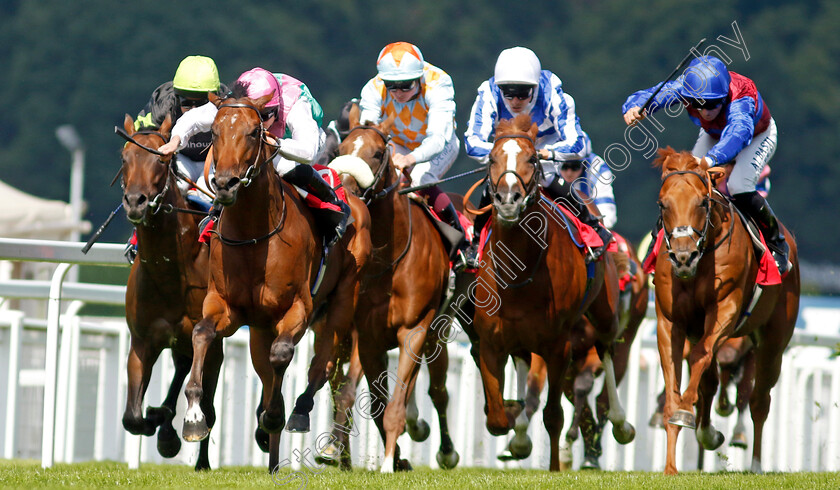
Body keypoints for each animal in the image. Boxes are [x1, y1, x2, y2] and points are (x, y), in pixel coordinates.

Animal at [118, 114, 218, 470]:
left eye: (162, 161)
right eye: (125, 158)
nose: (135, 202)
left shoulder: (212, 335)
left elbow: (205, 401)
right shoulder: (142, 341)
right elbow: (132, 417)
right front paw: (156, 421)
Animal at [182, 88, 370, 470]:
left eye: (255, 132)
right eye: (214, 132)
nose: (224, 184)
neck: (255, 236)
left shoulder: (297, 308)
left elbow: (283, 356)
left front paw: (273, 415)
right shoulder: (225, 306)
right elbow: (202, 333)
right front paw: (194, 417)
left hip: (343, 300)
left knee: (323, 365)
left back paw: (298, 413)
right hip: (259, 329)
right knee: (268, 368)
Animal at [326, 106, 462, 470]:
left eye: (376, 153)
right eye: (341, 148)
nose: (345, 186)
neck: (388, 258)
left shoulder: (414, 330)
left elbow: (396, 403)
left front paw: (388, 462)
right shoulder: (367, 337)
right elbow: (373, 401)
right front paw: (394, 457)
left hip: (438, 329)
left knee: (439, 391)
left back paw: (446, 451)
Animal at [470, 115, 632, 470]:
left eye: (533, 159)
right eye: (492, 158)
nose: (507, 200)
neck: (518, 274)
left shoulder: (559, 347)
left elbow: (553, 415)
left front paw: (556, 467)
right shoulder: (490, 343)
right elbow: (496, 419)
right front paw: (513, 427)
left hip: (604, 314)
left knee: (607, 351)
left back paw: (621, 423)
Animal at [648, 146, 800, 474]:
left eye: (702, 202)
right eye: (663, 204)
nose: (682, 257)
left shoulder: (726, 310)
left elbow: (700, 360)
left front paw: (686, 414)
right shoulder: (670, 322)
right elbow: (677, 387)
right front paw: (670, 467)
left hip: (772, 343)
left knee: (759, 400)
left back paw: (755, 464)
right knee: (711, 382)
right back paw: (708, 433)